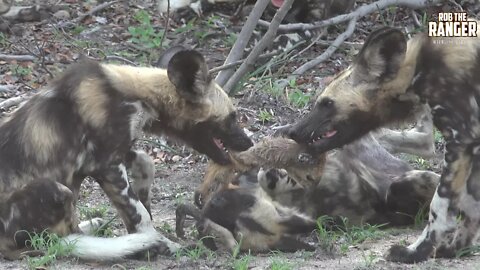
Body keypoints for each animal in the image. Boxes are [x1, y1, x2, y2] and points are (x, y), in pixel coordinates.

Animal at [0, 47, 253, 260]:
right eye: (232, 117)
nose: (249, 143)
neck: (137, 95)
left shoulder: (117, 154)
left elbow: (146, 162)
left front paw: (144, 195)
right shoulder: (106, 165)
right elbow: (140, 215)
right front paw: (161, 245)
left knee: (71, 231)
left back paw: (95, 226)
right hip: (53, 188)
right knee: (59, 239)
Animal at [284, 25, 480, 264]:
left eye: (327, 103)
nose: (292, 131)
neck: (417, 70)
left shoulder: (460, 142)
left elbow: (440, 207)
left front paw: (416, 252)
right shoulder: (472, 145)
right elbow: (472, 209)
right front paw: (453, 249)